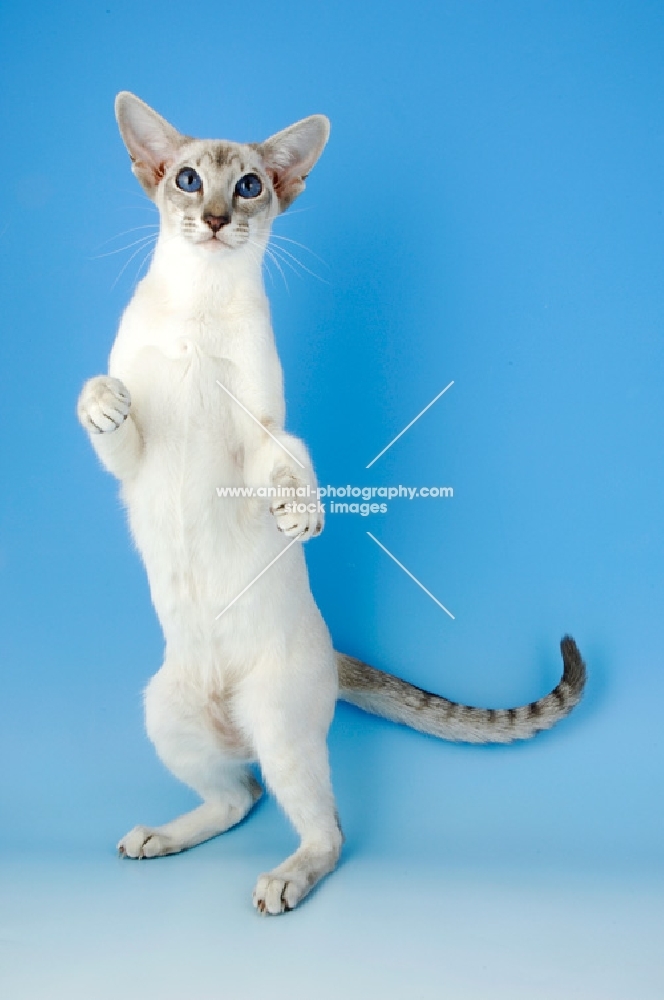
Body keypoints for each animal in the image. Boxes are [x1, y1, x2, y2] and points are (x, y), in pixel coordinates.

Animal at [78, 92, 588, 916]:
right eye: (187, 179)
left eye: (249, 187)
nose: (215, 217)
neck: (200, 309)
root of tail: (331, 655)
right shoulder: (133, 460)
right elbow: (104, 402)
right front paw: (102, 402)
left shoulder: (260, 434)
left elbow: (290, 460)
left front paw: (302, 514)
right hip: (169, 713)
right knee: (238, 795)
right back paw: (162, 835)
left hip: (281, 727)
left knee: (320, 826)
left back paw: (284, 876)